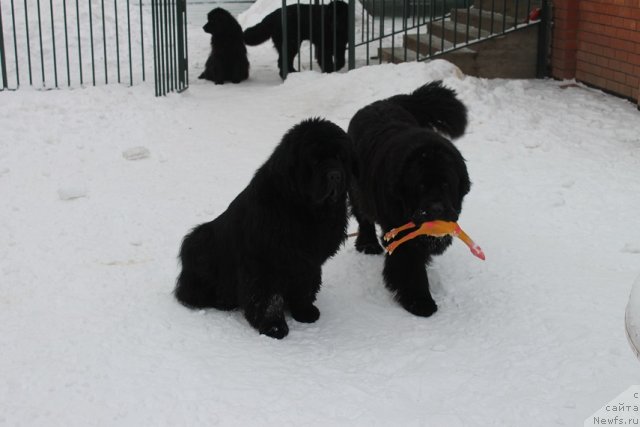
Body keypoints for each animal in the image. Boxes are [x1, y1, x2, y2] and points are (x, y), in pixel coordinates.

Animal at [176, 118, 356, 340]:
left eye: (340, 157)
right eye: (314, 160)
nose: (335, 175)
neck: (305, 212)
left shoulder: (307, 260)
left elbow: (304, 285)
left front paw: (304, 312)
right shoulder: (265, 261)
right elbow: (269, 298)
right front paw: (274, 327)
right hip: (200, 241)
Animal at [350, 83, 470, 318]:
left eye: (446, 185)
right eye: (420, 187)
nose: (436, 209)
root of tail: (384, 101)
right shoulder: (400, 230)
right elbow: (409, 263)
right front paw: (420, 301)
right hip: (358, 190)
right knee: (363, 216)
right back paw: (368, 244)